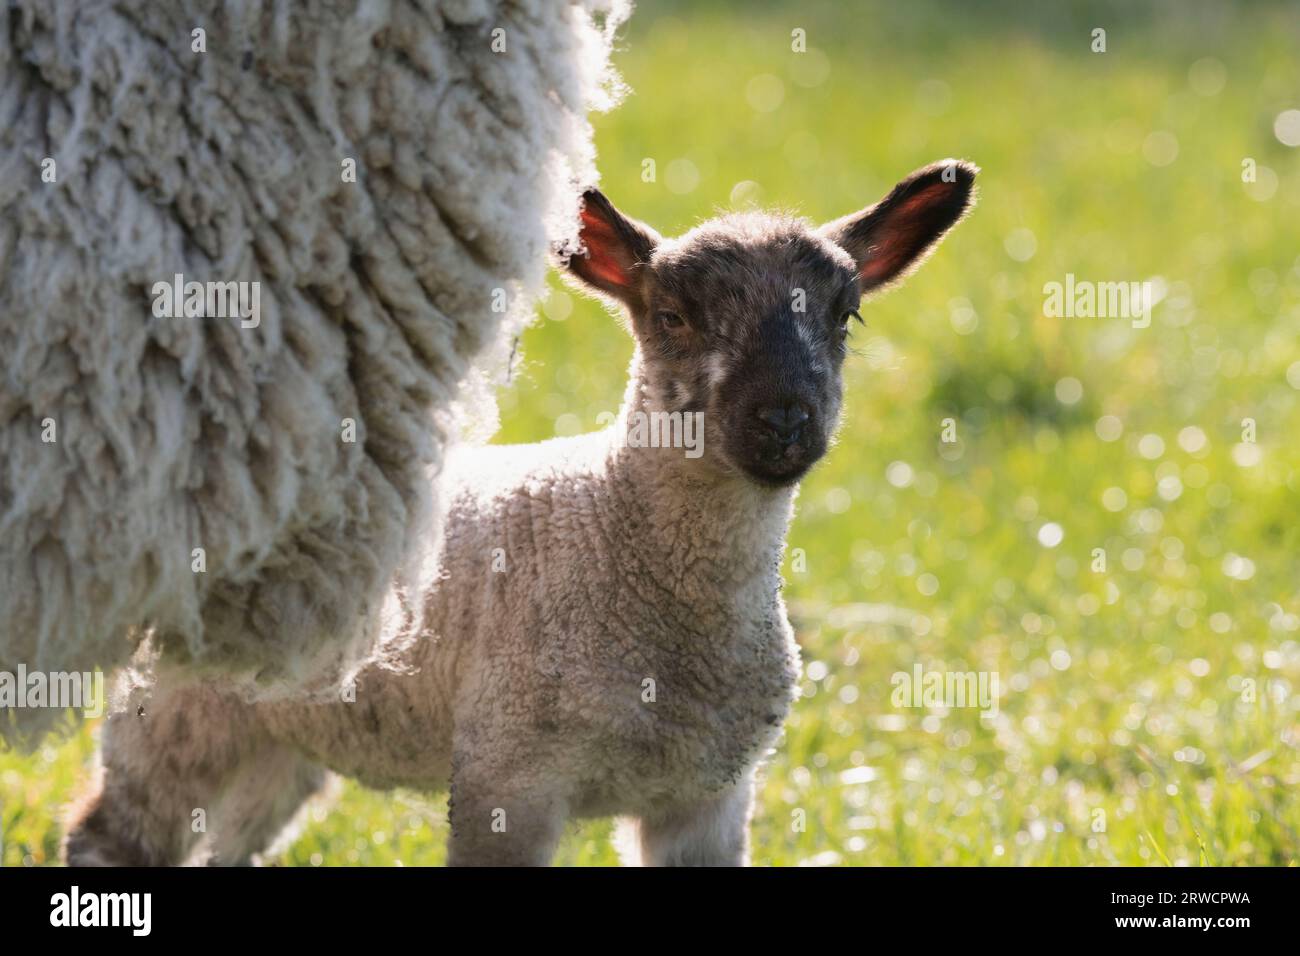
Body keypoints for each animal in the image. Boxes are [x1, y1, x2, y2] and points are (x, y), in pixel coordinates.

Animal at [63, 160, 978, 866]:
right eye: (673, 317)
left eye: (845, 316)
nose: (785, 419)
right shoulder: (508, 774)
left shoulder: (708, 795)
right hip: (174, 713)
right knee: (109, 836)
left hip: (282, 741)